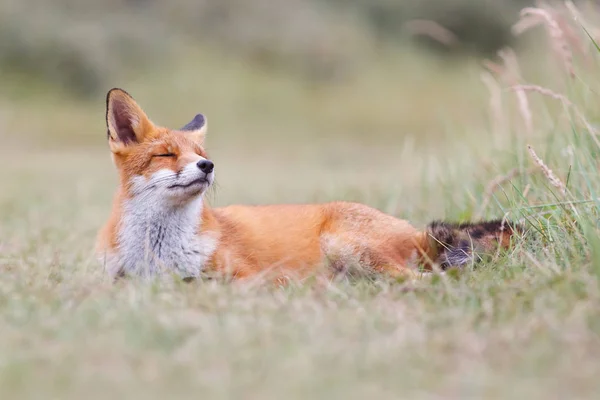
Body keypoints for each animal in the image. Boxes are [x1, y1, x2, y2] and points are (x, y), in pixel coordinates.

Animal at [96, 87, 524, 282]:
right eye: (167, 154)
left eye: (200, 151)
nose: (208, 165)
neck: (157, 254)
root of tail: (410, 227)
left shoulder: (252, 279)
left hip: (348, 247)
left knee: (428, 278)